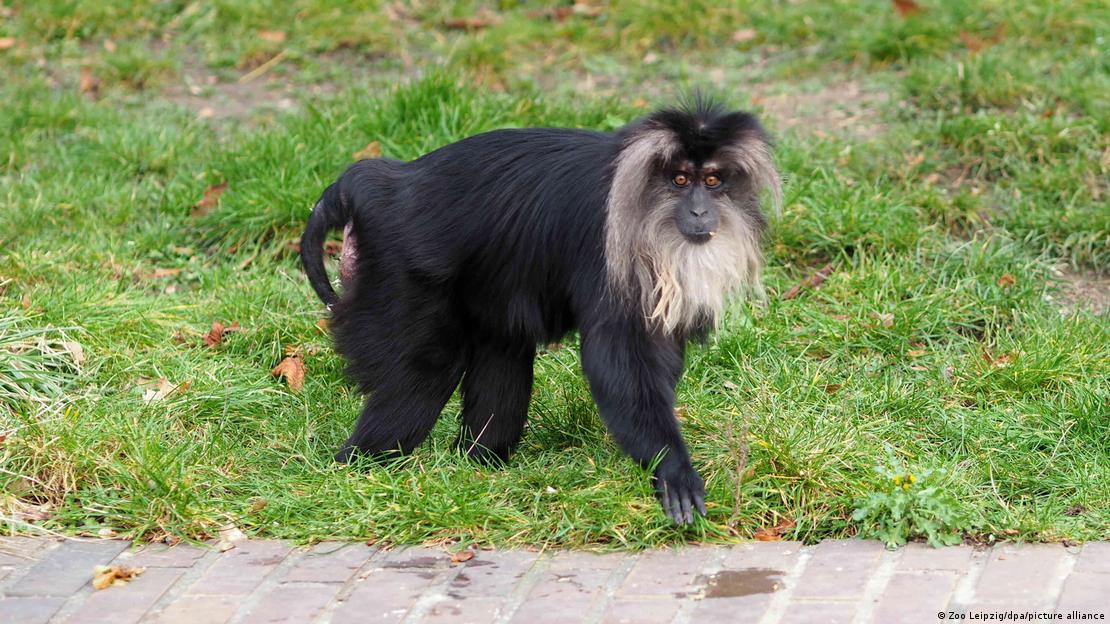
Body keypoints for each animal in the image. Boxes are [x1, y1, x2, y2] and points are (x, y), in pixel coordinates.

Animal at [300, 99, 780, 525]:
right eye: (680, 179)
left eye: (713, 180)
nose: (700, 211)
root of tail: (381, 183)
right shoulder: (608, 249)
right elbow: (616, 362)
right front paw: (673, 470)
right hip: (397, 271)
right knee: (425, 372)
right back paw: (359, 466)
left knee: (503, 351)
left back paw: (477, 465)